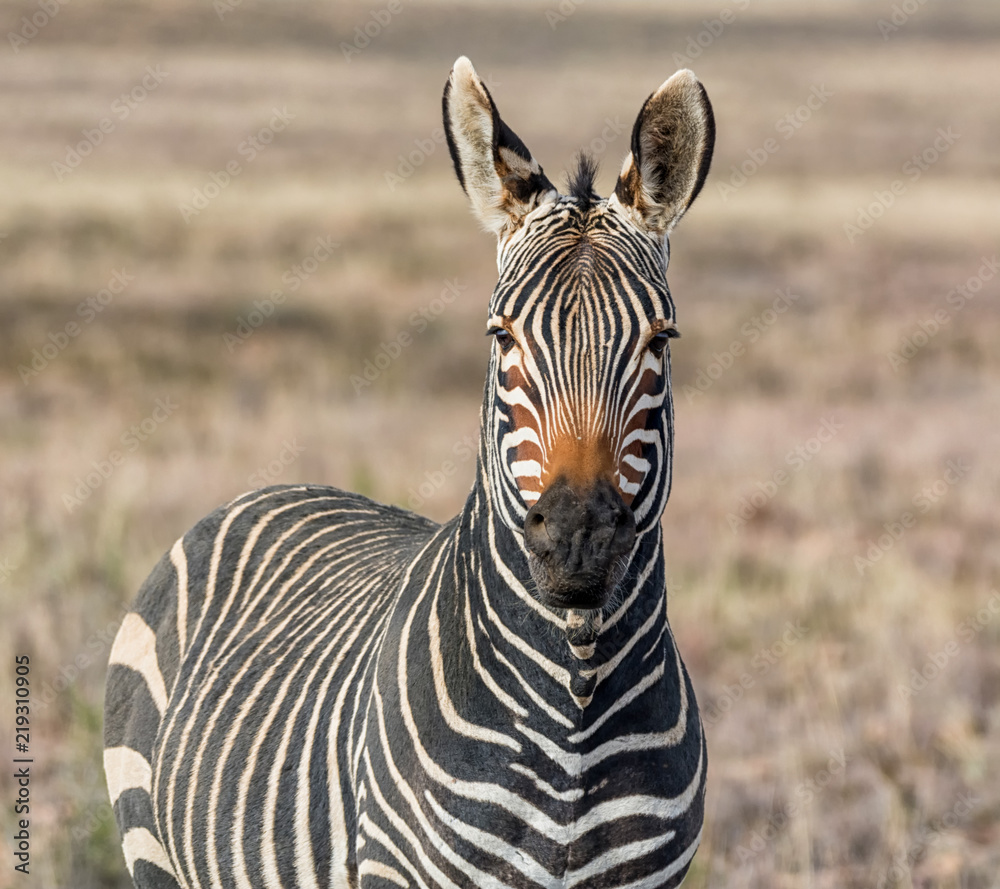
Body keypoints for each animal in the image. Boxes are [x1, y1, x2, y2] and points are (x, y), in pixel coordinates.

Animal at [104, 56, 715, 889]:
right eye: (501, 335)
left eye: (661, 338)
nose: (578, 538)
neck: (575, 702)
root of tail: (267, 489)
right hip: (149, 842)